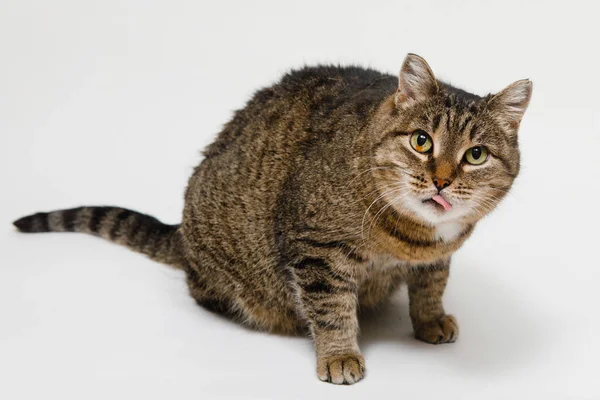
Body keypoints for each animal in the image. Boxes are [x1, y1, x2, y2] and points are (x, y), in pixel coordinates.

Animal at [12, 54, 528, 384]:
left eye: (475, 155)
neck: (412, 236)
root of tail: (182, 235)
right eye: (422, 141)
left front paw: (430, 320)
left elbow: (430, 285)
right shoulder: (316, 248)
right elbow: (331, 308)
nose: (440, 180)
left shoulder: (438, 255)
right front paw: (340, 354)